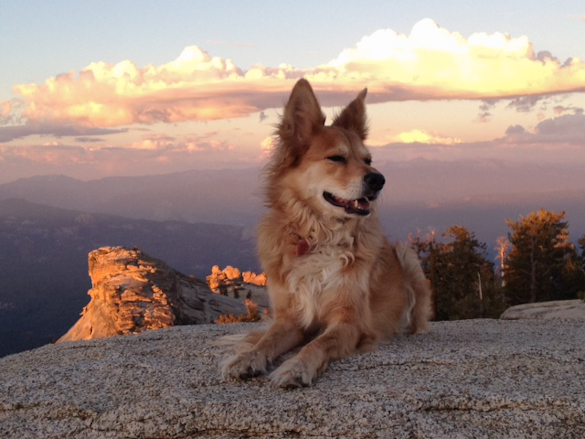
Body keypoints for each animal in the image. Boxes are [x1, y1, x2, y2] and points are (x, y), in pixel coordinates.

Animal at [221, 78, 432, 388]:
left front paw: (296, 367)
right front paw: (248, 358)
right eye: (336, 158)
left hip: (407, 255)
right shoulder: (291, 318)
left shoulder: (350, 322)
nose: (379, 180)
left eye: (368, 160)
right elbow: (267, 340)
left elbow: (318, 343)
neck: (319, 235)